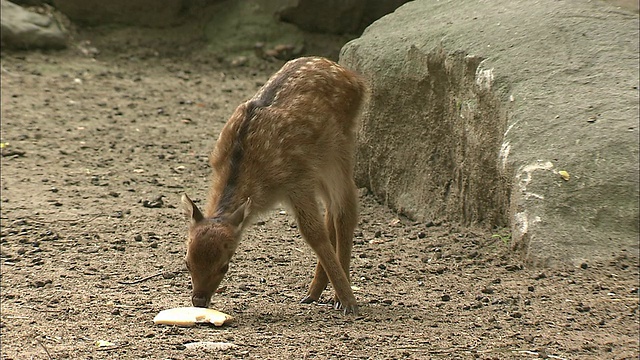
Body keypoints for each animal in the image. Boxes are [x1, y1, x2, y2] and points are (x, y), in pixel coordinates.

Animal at [180, 55, 370, 316]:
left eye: (224, 266)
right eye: (187, 262)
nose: (199, 300)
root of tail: (355, 78)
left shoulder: (297, 181)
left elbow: (313, 232)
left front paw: (350, 301)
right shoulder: (305, 177)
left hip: (341, 147)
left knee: (345, 211)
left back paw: (339, 298)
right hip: (319, 164)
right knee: (332, 211)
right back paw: (314, 293)